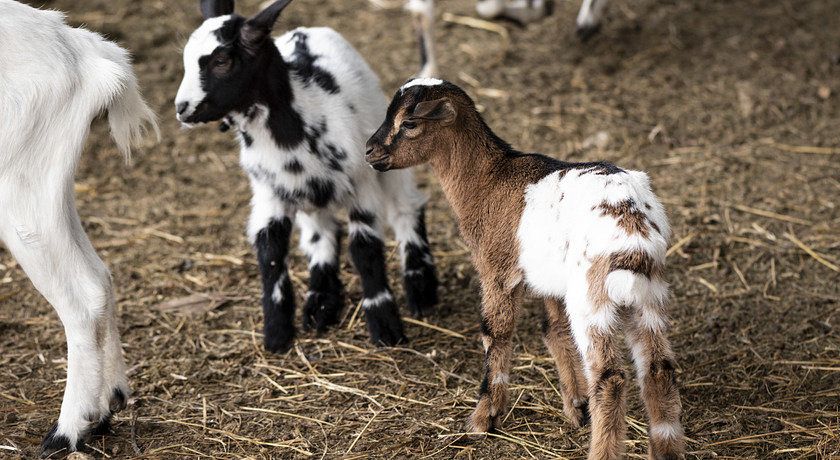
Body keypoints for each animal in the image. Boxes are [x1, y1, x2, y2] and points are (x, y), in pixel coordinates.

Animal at [0, 0, 158, 454]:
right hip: (49, 187)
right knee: (100, 275)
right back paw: (107, 406)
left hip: (19, 186)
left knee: (83, 295)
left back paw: (66, 431)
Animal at [175, 0, 442, 352]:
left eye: (221, 60)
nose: (181, 108)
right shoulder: (270, 195)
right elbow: (271, 254)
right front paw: (277, 333)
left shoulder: (361, 186)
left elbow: (365, 250)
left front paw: (385, 328)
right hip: (307, 193)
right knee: (321, 232)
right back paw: (321, 302)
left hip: (384, 158)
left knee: (405, 208)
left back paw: (421, 288)